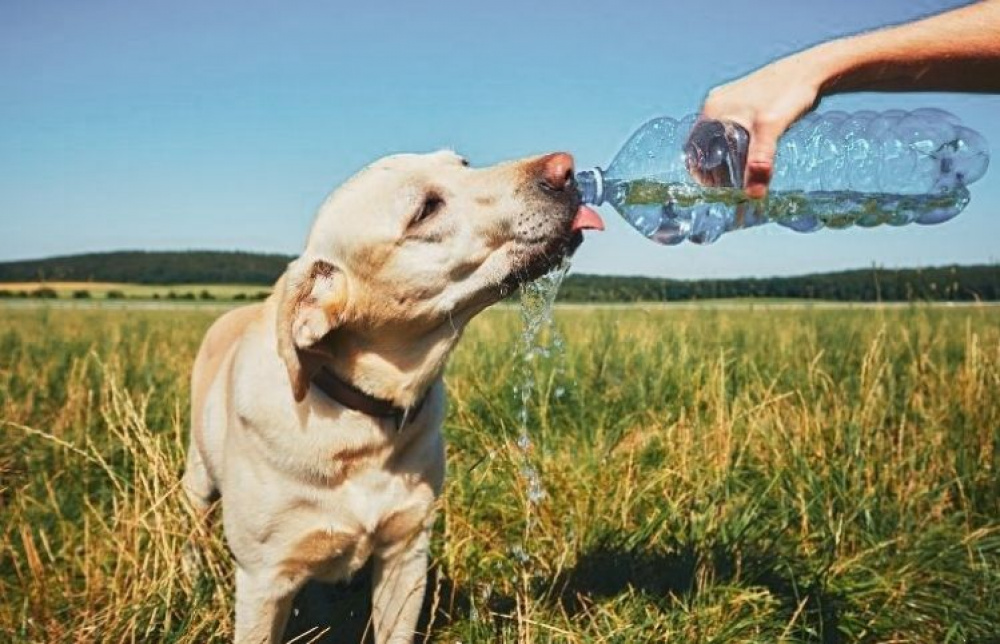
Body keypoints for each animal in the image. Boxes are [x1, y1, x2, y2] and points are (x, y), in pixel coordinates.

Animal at [180, 148, 600, 640]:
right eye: (426, 210)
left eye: (463, 163)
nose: (565, 167)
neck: (361, 420)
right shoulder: (264, 579)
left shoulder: (406, 554)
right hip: (197, 479)